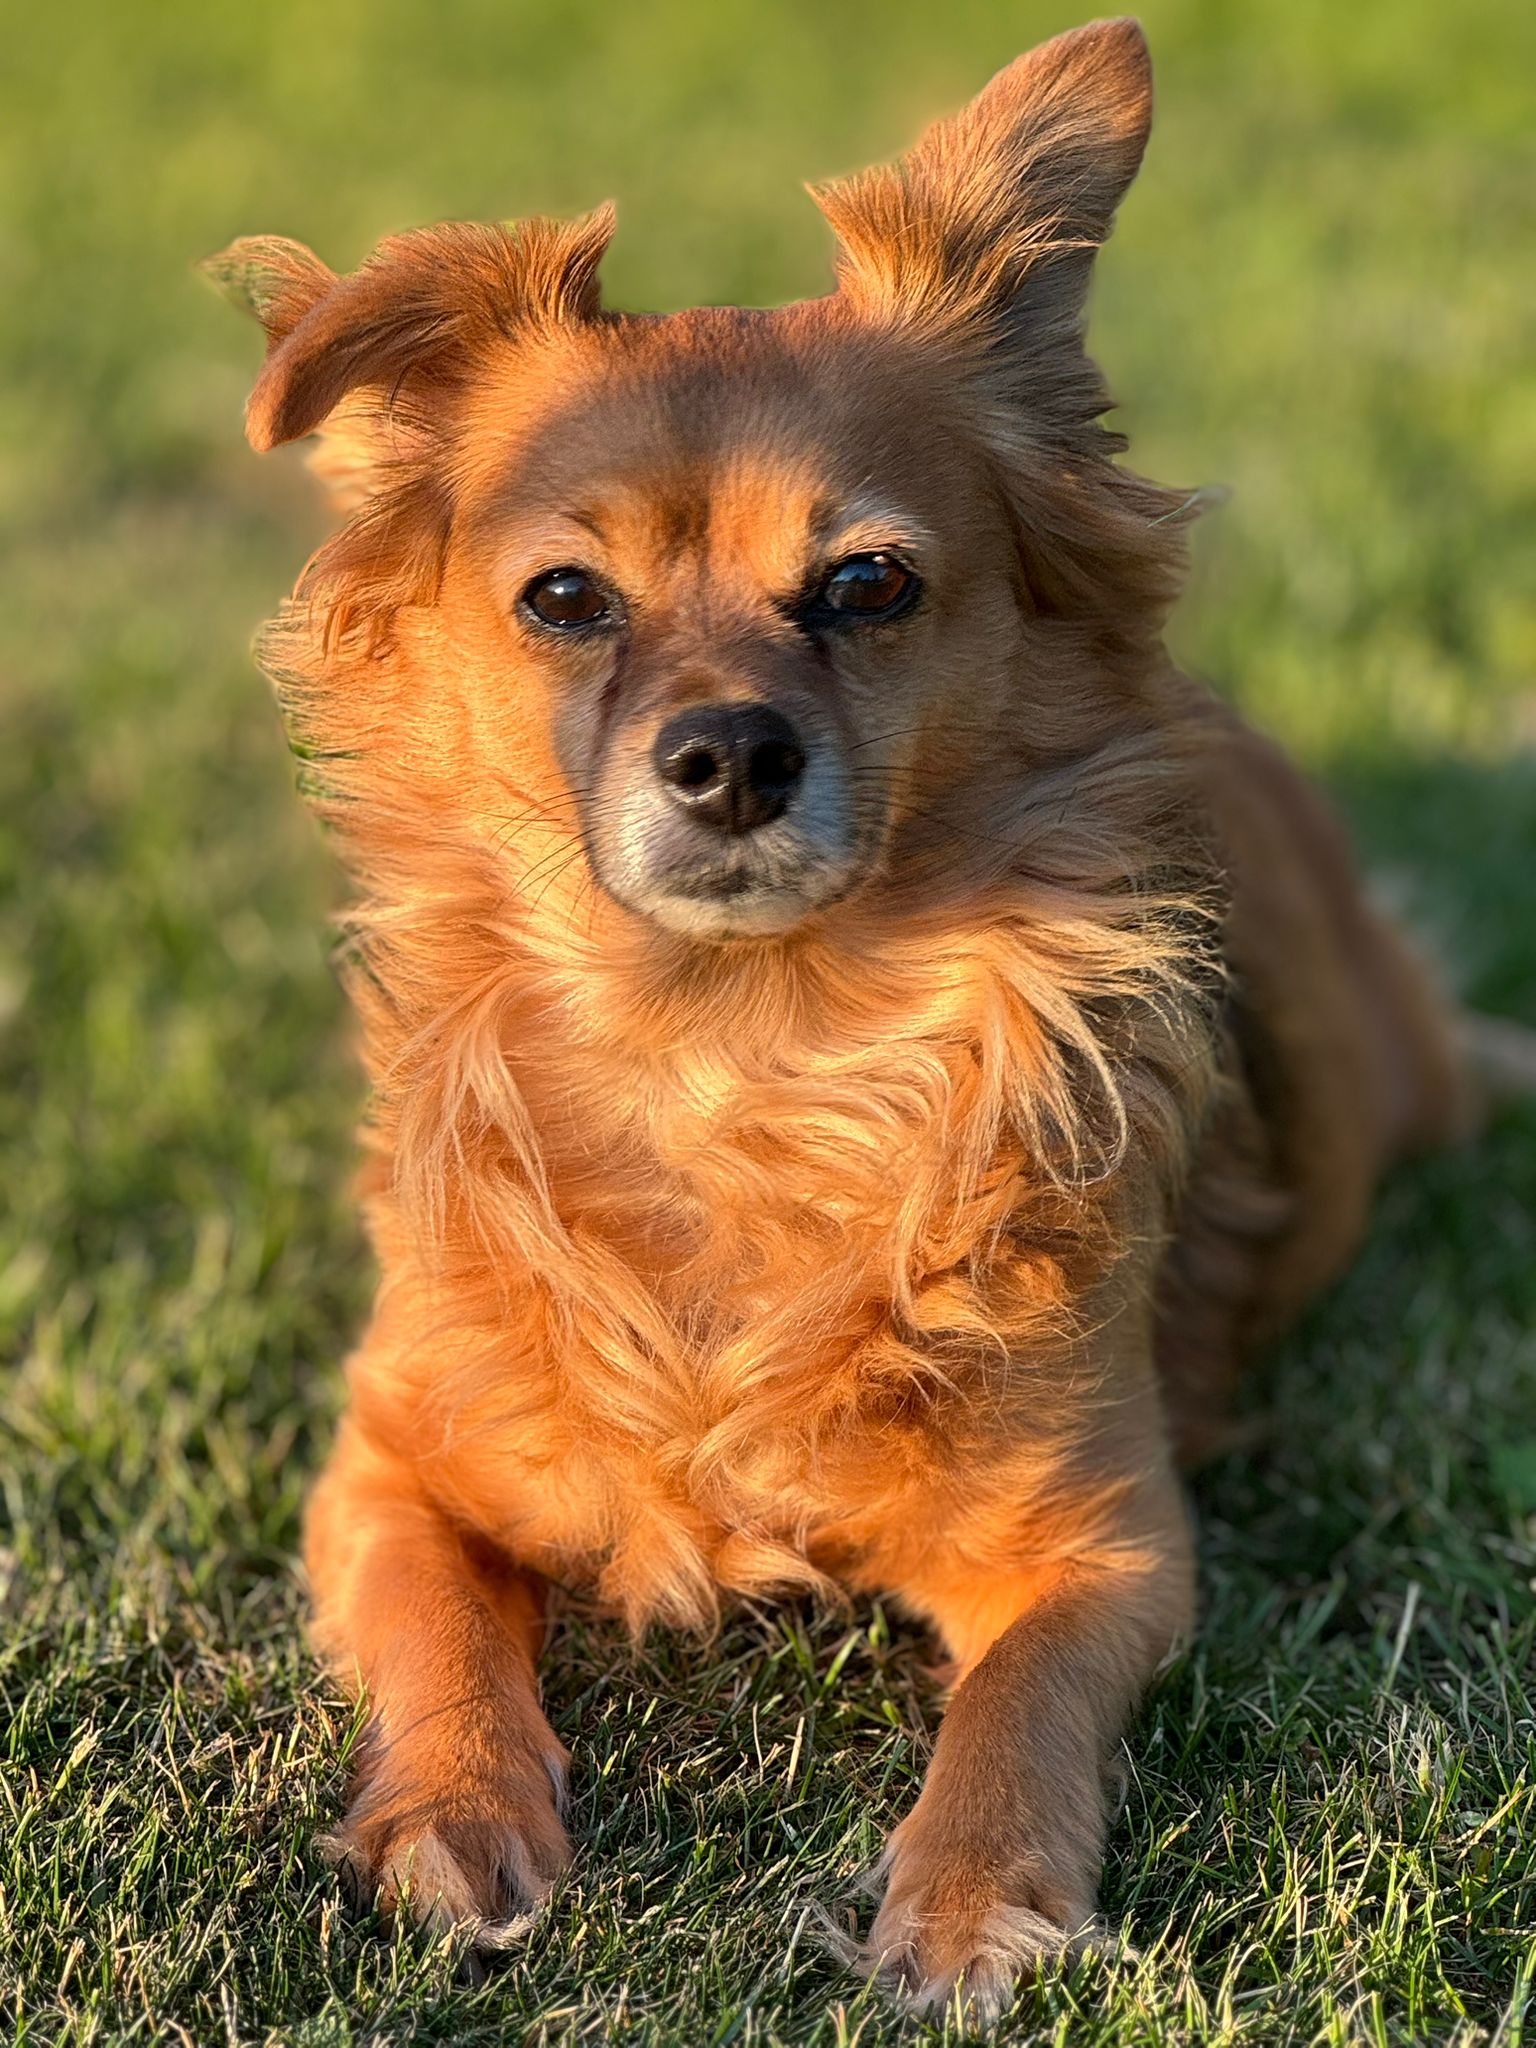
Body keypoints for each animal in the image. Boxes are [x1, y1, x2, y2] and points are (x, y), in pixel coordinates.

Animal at [208, 17, 1478, 2018]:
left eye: (867, 583)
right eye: (563, 598)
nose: (729, 750)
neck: (741, 1056)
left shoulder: (1109, 1548)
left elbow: (1015, 1708)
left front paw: (965, 1900)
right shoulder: (380, 1467)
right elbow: (437, 1626)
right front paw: (456, 1809)